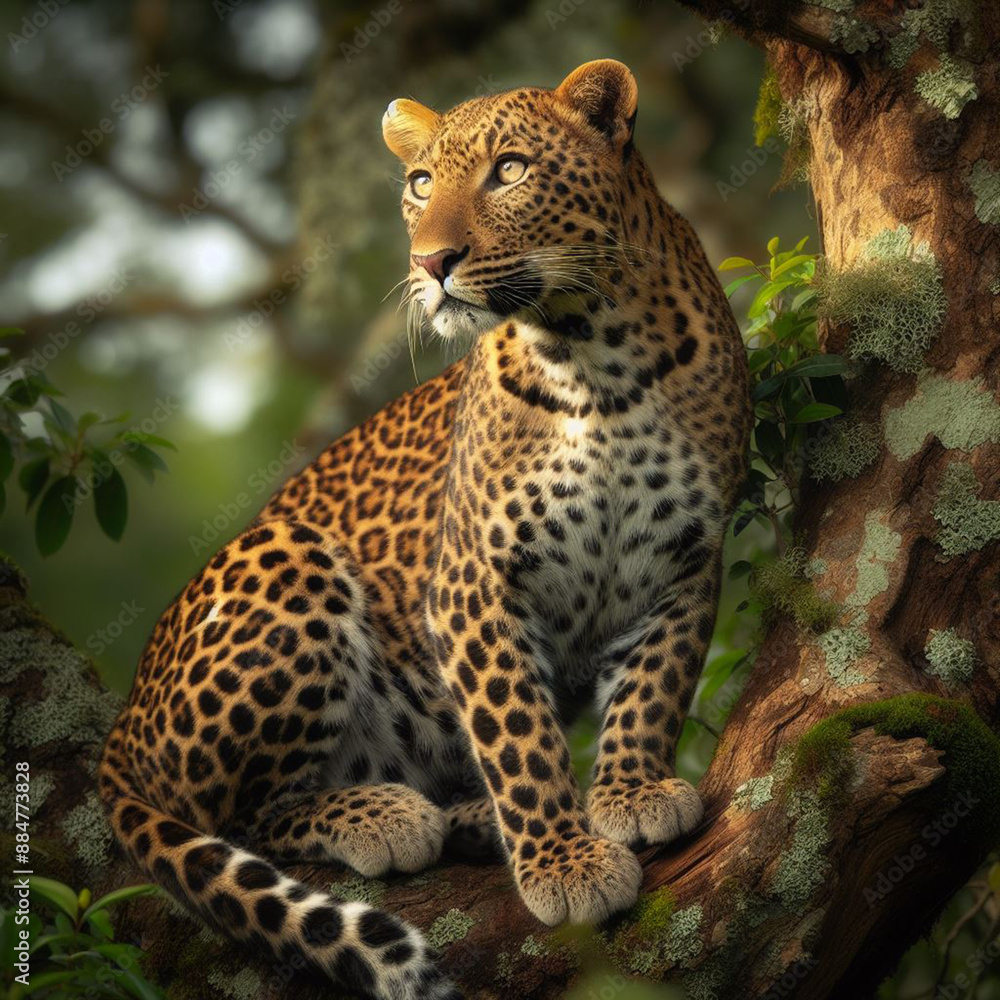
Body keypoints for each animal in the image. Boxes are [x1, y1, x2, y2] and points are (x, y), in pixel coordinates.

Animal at [99, 59, 750, 1000]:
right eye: (418, 183)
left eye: (509, 171)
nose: (431, 262)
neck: (596, 357)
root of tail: (121, 725)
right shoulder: (474, 582)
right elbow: (517, 735)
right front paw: (564, 864)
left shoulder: (685, 562)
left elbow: (652, 689)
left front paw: (630, 792)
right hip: (284, 556)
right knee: (235, 814)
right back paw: (385, 815)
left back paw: (469, 816)